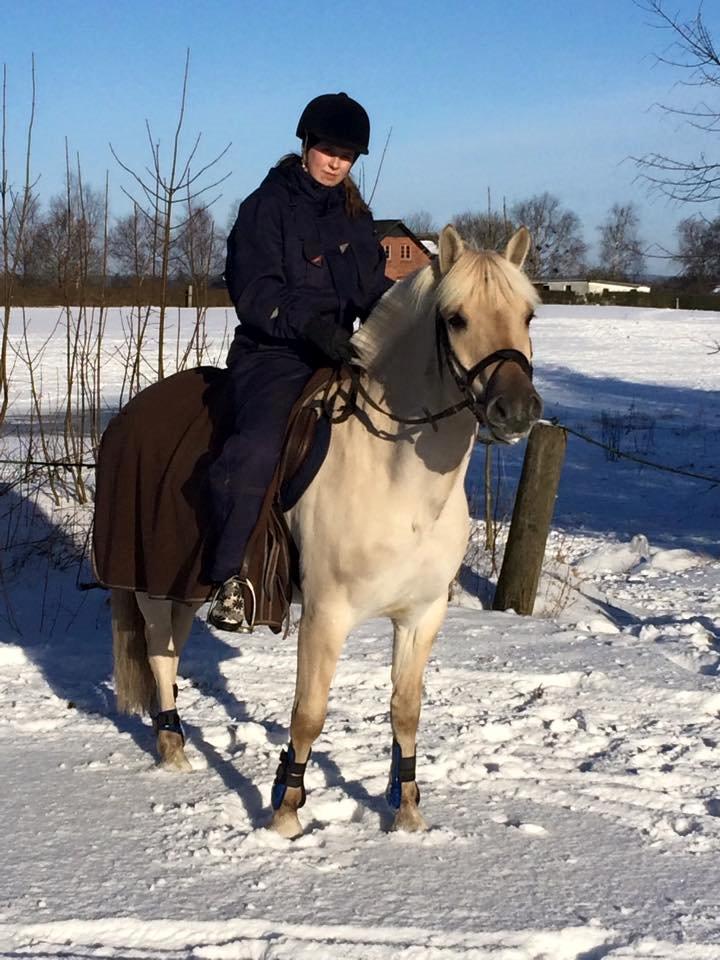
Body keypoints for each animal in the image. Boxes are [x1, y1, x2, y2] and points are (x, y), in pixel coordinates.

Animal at [105, 221, 540, 836]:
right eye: (456, 318)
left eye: (527, 315)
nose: (516, 409)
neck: (397, 479)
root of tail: (130, 414)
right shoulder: (324, 614)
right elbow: (308, 714)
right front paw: (286, 811)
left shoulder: (421, 615)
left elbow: (406, 710)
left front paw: (407, 813)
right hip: (149, 583)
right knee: (159, 655)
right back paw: (172, 750)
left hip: (185, 585)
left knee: (170, 649)